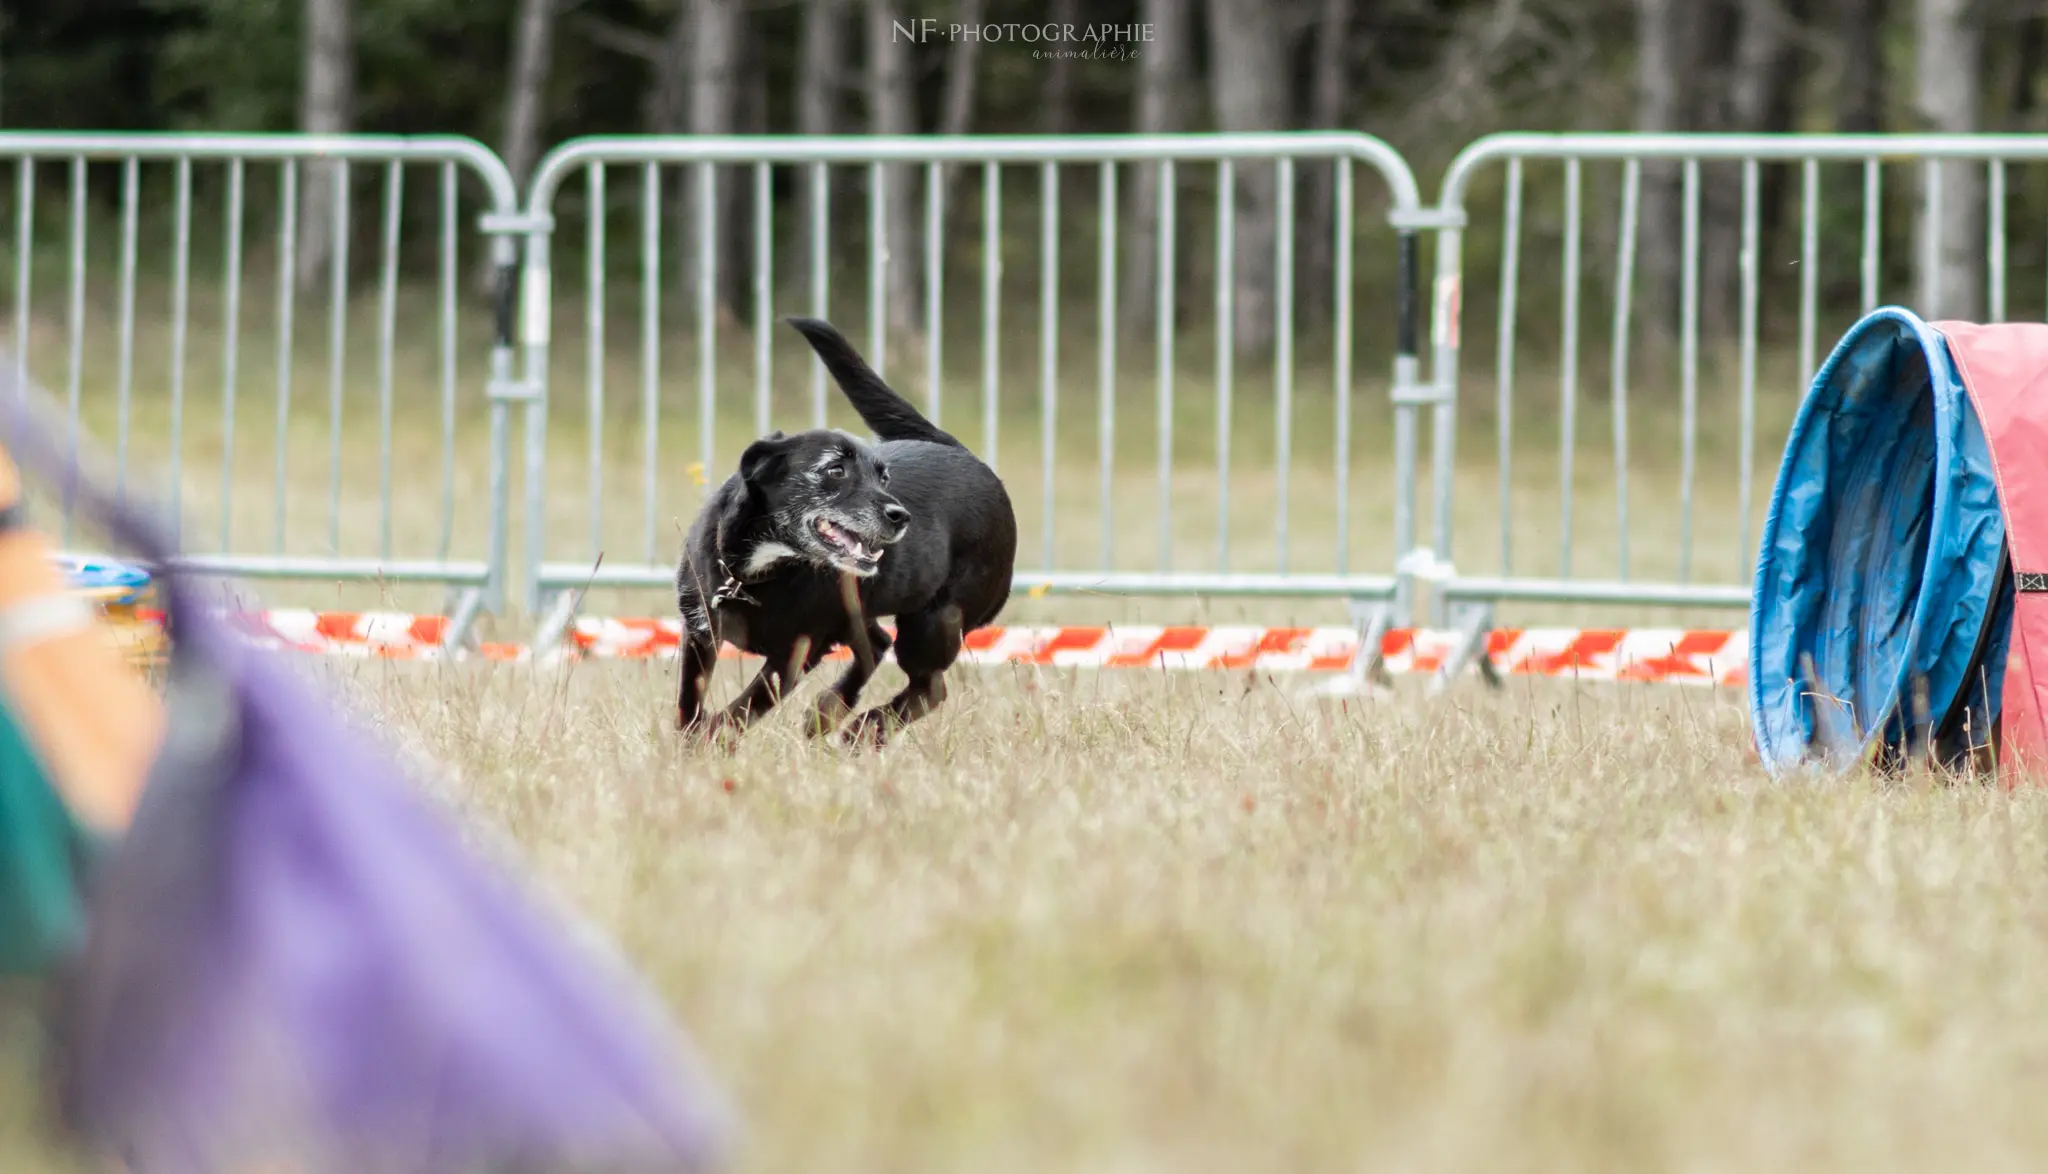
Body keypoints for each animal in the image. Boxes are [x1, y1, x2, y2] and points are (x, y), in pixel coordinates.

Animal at [675, 315, 1019, 745]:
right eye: (835, 469)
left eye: (883, 477)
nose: (900, 515)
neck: (756, 573)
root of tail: (966, 454)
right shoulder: (699, 631)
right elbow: (691, 701)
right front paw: (689, 744)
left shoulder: (798, 651)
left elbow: (745, 707)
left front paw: (715, 739)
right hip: (863, 610)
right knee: (878, 645)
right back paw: (830, 711)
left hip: (935, 622)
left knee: (930, 686)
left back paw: (864, 727)